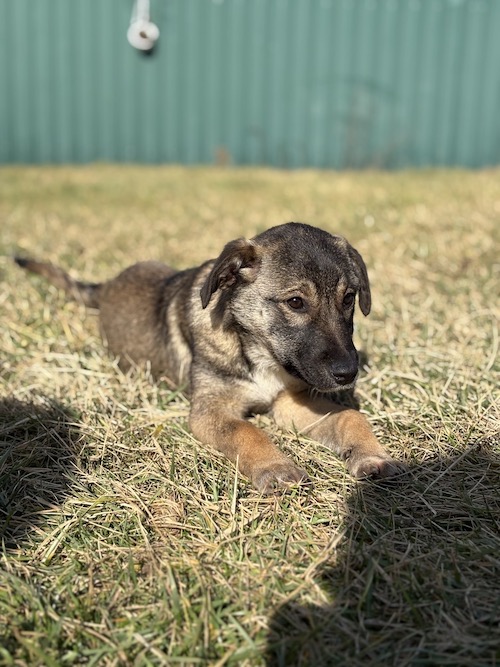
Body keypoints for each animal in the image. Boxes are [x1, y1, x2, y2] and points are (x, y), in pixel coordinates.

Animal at [15, 222, 404, 492]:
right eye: (295, 302)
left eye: (348, 298)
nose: (348, 373)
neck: (256, 351)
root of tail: (107, 285)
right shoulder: (208, 411)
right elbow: (247, 430)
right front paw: (275, 468)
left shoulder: (288, 402)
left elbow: (350, 417)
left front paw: (371, 454)